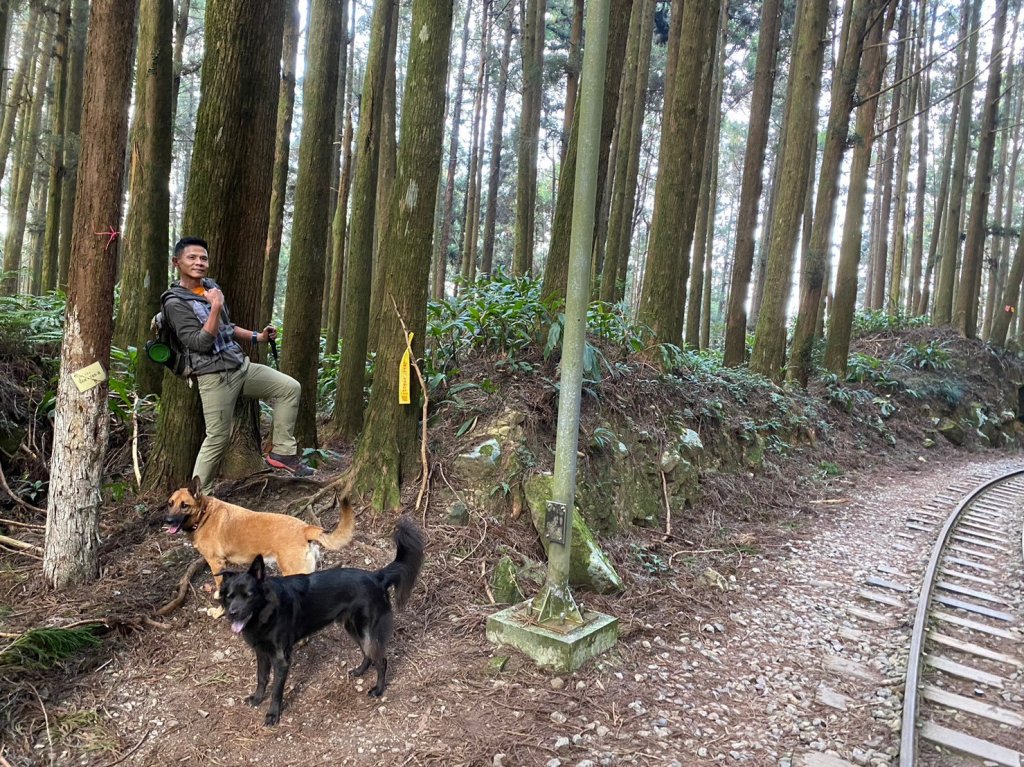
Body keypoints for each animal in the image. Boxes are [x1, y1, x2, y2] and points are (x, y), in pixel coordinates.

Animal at [164, 473, 356, 593]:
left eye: (184, 505)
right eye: (170, 503)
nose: (168, 521)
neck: (204, 514)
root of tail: (305, 528)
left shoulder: (216, 563)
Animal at [220, 514, 423, 725]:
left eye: (249, 595)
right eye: (230, 596)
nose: (232, 613)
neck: (266, 612)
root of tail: (377, 576)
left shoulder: (281, 659)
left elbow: (276, 691)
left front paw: (272, 714)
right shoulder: (261, 652)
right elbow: (261, 679)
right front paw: (257, 699)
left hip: (365, 629)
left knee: (381, 660)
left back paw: (378, 689)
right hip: (353, 627)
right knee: (368, 653)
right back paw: (359, 671)